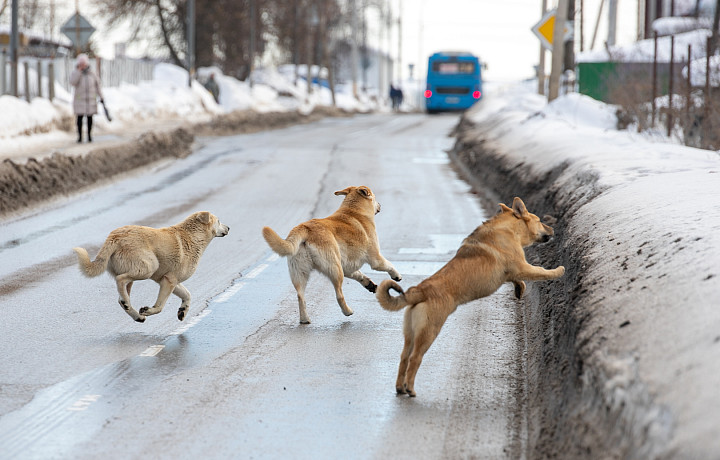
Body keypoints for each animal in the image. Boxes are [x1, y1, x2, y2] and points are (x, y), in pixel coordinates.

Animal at [71, 213, 229, 324]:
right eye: (219, 221)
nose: (228, 228)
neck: (193, 236)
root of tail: (115, 236)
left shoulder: (169, 280)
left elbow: (187, 295)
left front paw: (182, 311)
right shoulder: (169, 281)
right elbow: (160, 306)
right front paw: (148, 310)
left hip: (136, 271)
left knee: (121, 296)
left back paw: (135, 314)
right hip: (149, 267)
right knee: (120, 280)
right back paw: (133, 309)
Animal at [262, 186, 402, 324]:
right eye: (374, 197)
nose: (380, 205)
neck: (354, 211)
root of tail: (305, 227)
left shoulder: (347, 267)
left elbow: (359, 274)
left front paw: (369, 283)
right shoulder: (375, 259)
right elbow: (389, 265)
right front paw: (397, 275)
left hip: (300, 273)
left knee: (300, 296)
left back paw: (304, 319)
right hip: (335, 270)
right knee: (339, 295)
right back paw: (347, 311)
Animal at [374, 197, 564, 396]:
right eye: (539, 221)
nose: (553, 229)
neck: (508, 228)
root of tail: (419, 291)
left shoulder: (511, 272)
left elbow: (519, 281)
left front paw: (520, 289)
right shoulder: (522, 266)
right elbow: (541, 272)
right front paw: (558, 271)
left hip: (411, 333)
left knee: (403, 358)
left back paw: (400, 387)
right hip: (429, 332)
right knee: (414, 358)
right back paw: (410, 388)